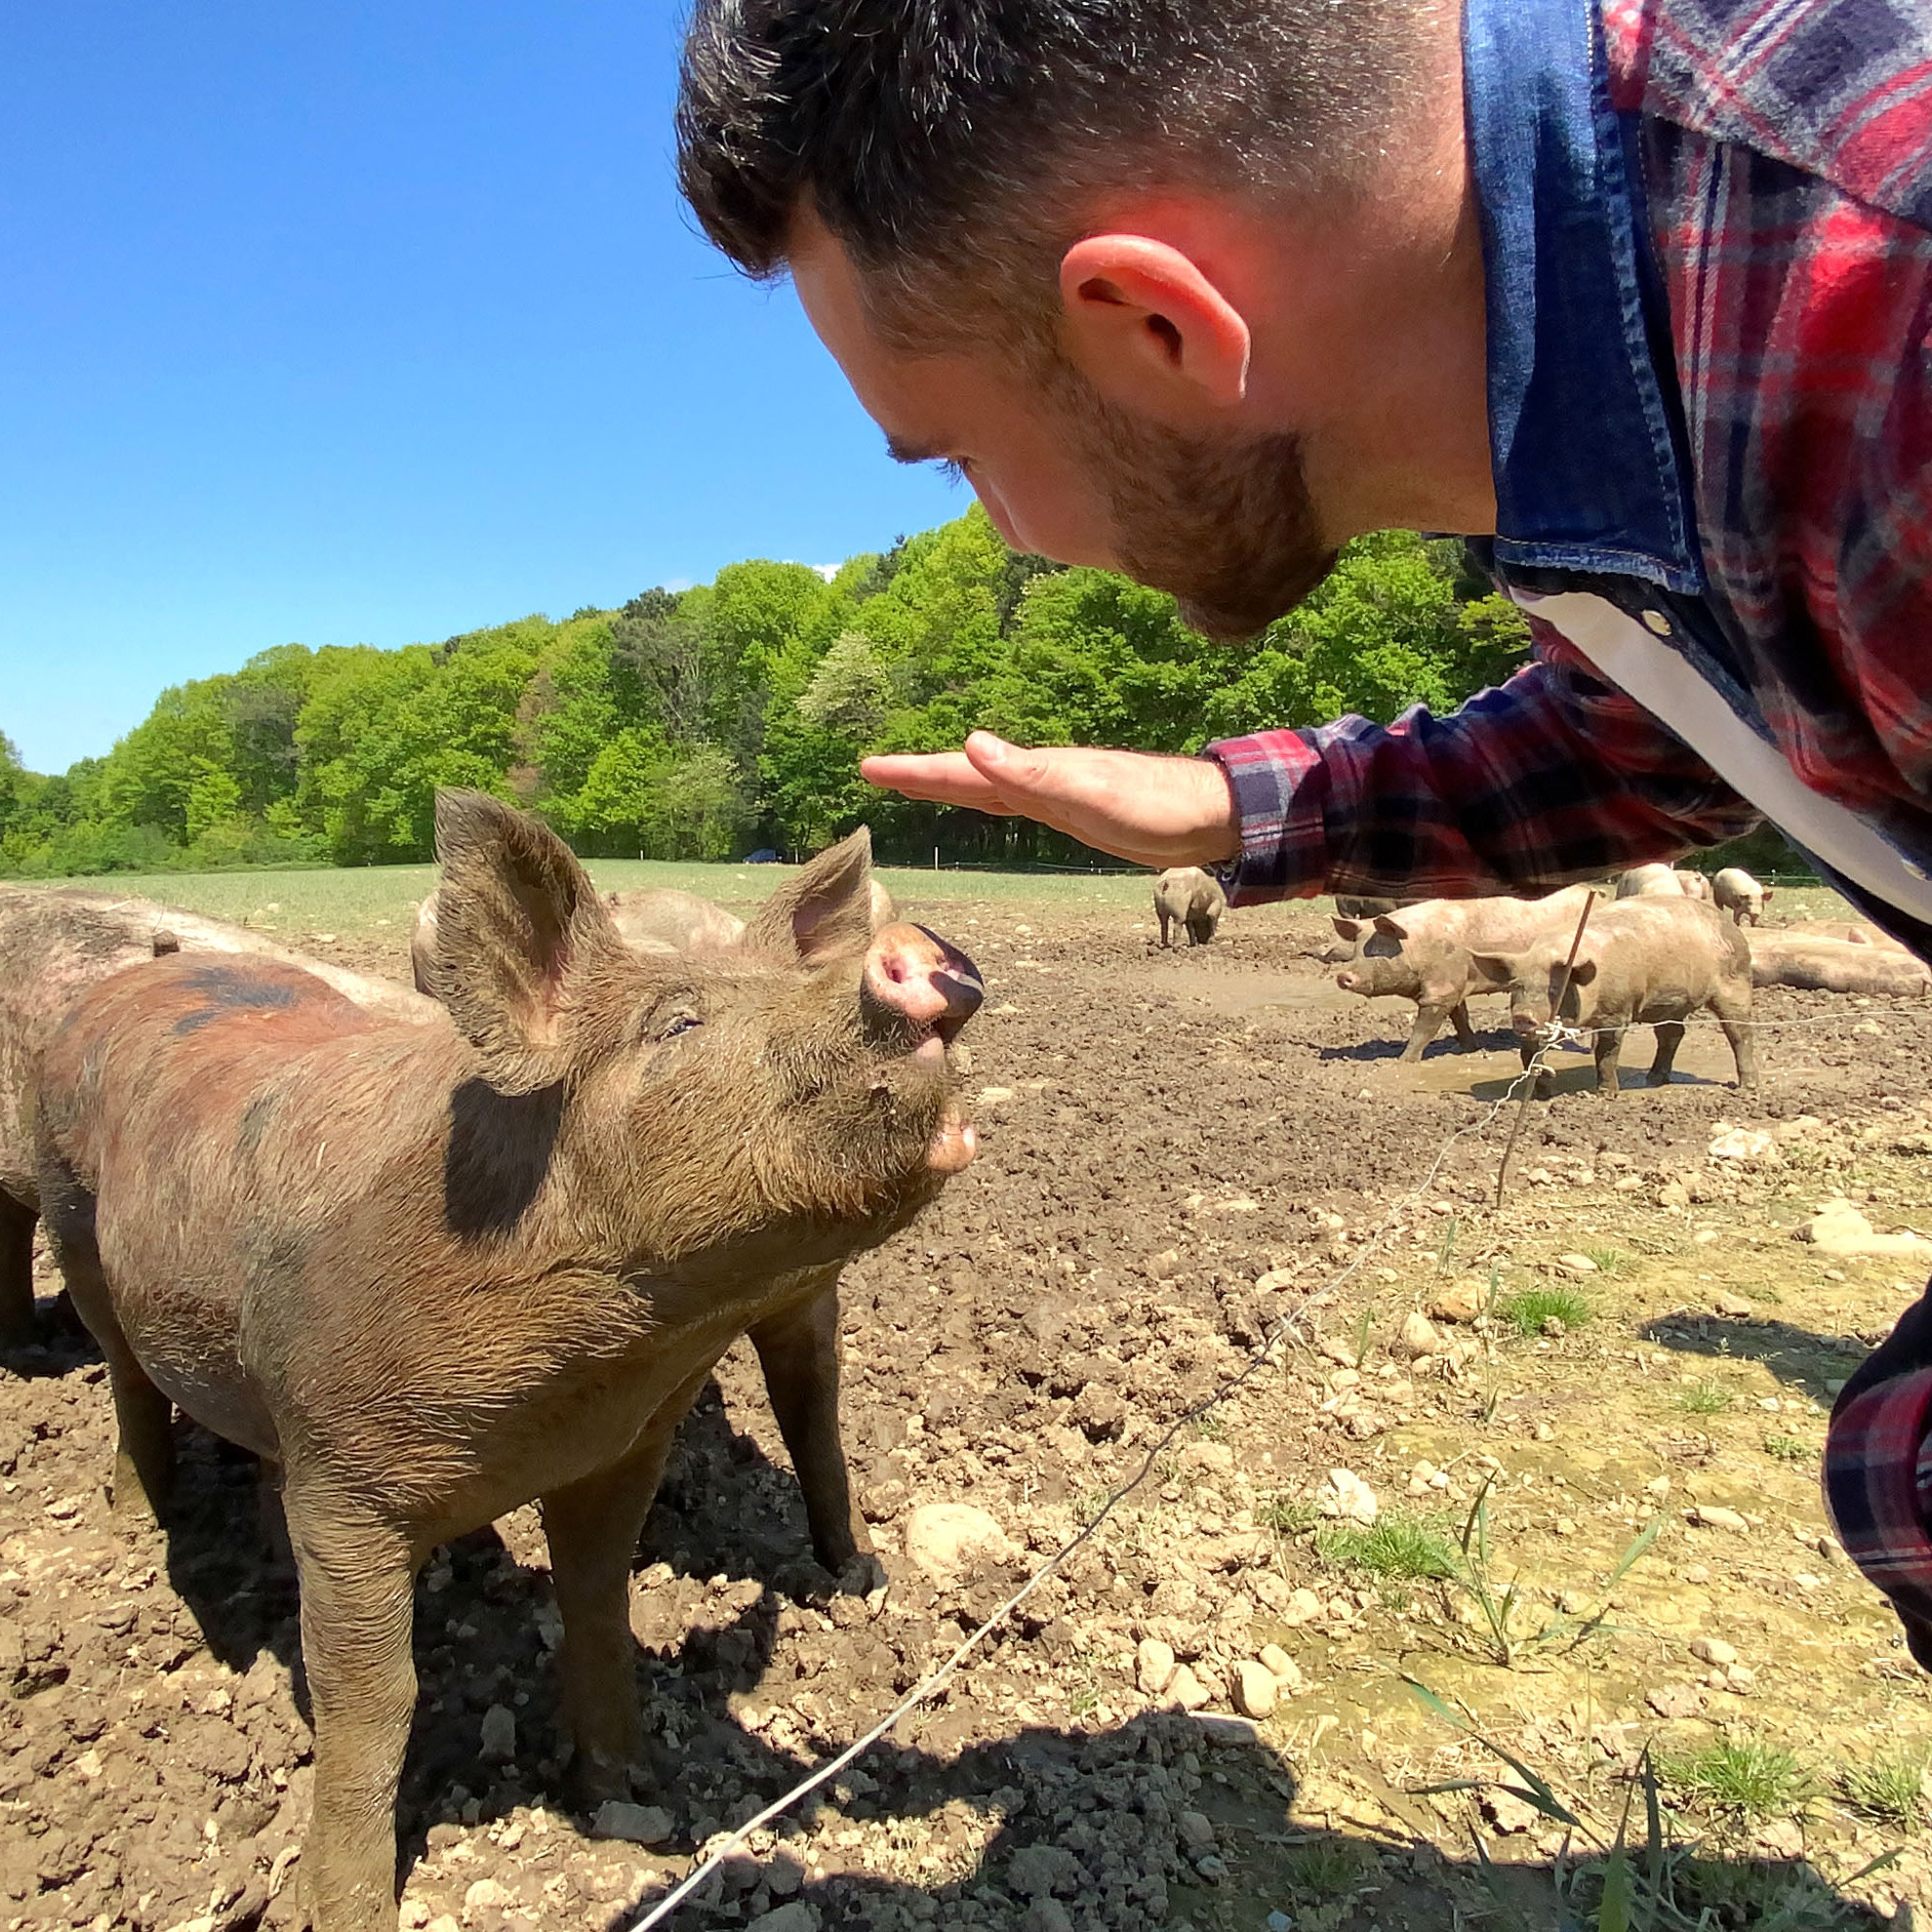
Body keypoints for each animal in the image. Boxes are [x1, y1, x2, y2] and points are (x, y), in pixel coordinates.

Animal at [33, 791, 981, 1924]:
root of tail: (133, 980)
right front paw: (346, 1907)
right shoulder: (345, 1480)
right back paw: (135, 1522)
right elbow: (370, 1696)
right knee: (125, 1376)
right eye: (677, 1022)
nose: (919, 951)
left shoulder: (617, 1451)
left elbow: (599, 1603)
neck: (578, 1382)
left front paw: (626, 1791)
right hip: (69, 1217)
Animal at [1337, 884, 1591, 1066]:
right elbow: (1460, 1017)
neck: (1419, 947)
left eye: (1377, 950)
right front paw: (1472, 1049)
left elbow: (1425, 1028)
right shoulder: (1456, 983)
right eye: (1356, 950)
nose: (1342, 976)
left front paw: (1403, 1061)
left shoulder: (1441, 989)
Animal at [1468, 892, 1761, 1097]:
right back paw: (1653, 1079)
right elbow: (1528, 1056)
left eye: (1554, 989)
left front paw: (1604, 1095)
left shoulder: (1617, 1011)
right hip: (1669, 1004)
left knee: (1740, 1033)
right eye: (1516, 987)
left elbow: (1607, 1051)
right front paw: (1543, 1093)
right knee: (1672, 1034)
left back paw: (1747, 1087)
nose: (1523, 1016)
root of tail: (1732, 929)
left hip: (1735, 983)